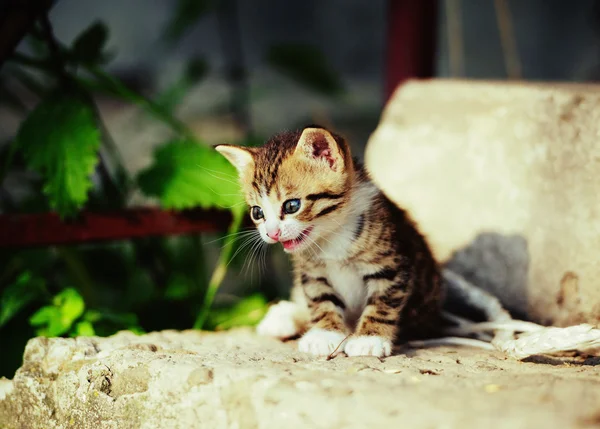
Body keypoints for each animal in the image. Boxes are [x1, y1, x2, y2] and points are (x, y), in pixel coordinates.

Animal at [216, 125, 440, 356]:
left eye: (292, 206)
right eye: (257, 212)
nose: (272, 233)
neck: (332, 236)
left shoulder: (392, 263)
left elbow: (383, 301)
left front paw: (370, 338)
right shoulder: (312, 272)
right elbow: (320, 300)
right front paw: (325, 334)